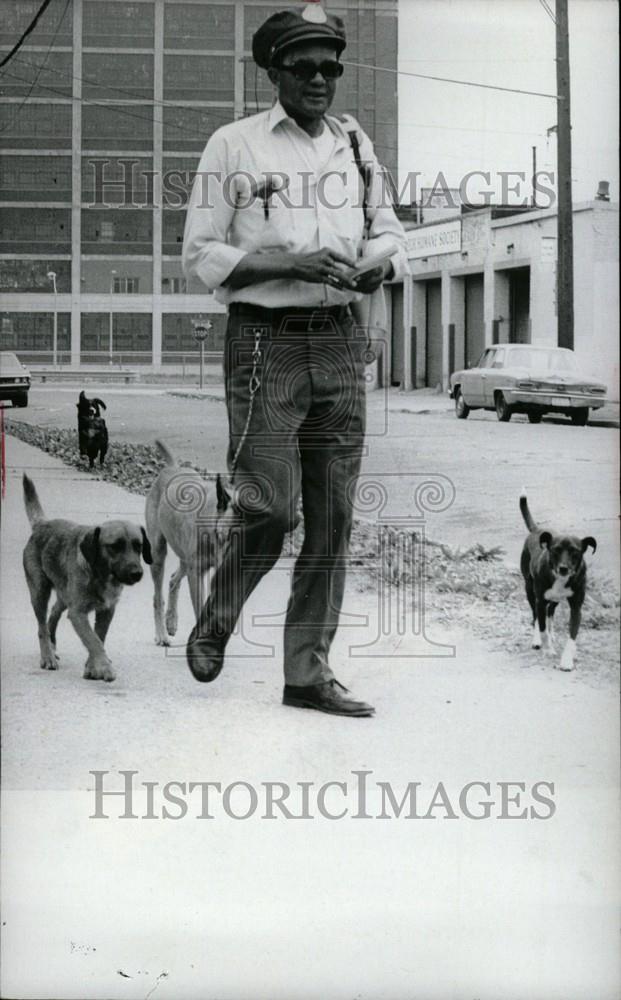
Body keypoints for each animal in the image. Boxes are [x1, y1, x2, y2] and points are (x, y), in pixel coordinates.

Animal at [23, 474, 153, 680]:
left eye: (138, 546)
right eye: (114, 546)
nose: (136, 573)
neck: (101, 575)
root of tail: (42, 525)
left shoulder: (106, 611)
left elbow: (98, 637)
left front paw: (93, 667)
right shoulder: (78, 613)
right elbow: (94, 641)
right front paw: (104, 667)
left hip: (64, 596)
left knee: (54, 613)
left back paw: (52, 645)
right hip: (39, 593)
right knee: (42, 626)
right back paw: (47, 655)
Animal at [144, 440, 234, 644]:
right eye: (225, 535)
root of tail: (172, 467)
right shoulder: (197, 573)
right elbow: (200, 609)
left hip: (184, 557)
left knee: (173, 580)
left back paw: (171, 621)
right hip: (158, 552)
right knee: (157, 597)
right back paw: (161, 634)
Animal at [520, 494, 596, 672]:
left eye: (575, 551)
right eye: (555, 550)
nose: (563, 568)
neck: (560, 579)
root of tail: (537, 529)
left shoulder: (576, 606)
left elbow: (572, 635)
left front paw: (567, 659)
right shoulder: (540, 601)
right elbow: (541, 628)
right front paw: (548, 649)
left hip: (555, 599)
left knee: (550, 612)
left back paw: (552, 633)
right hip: (529, 590)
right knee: (535, 616)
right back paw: (537, 640)